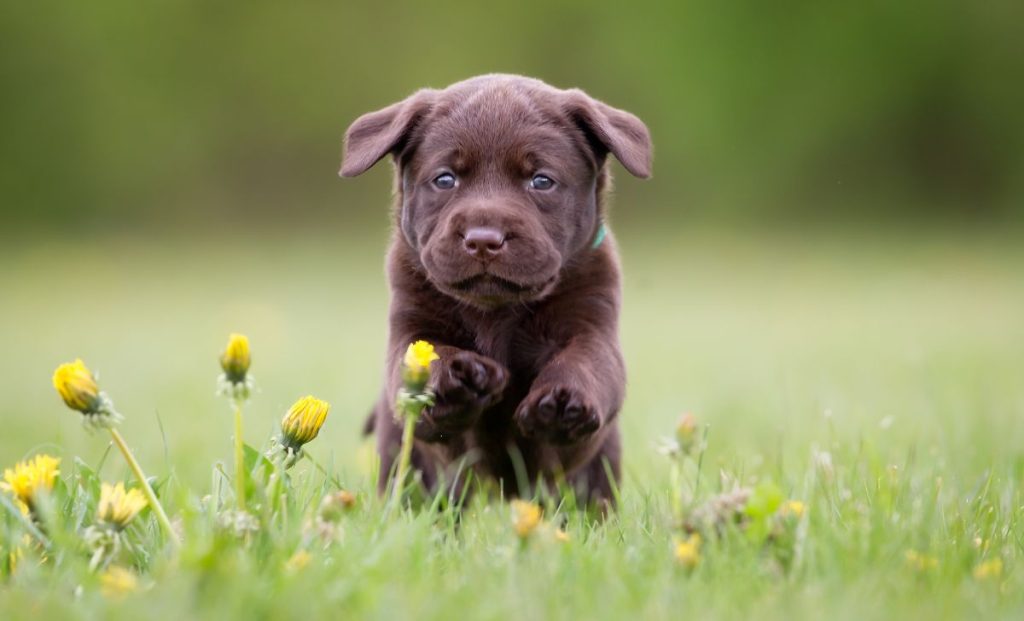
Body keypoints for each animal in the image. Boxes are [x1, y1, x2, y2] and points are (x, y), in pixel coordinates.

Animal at [339, 74, 651, 510]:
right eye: (445, 179)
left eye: (541, 181)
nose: (484, 239)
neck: (495, 310)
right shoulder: (409, 325)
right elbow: (425, 357)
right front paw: (458, 376)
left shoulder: (593, 321)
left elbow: (587, 360)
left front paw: (563, 401)